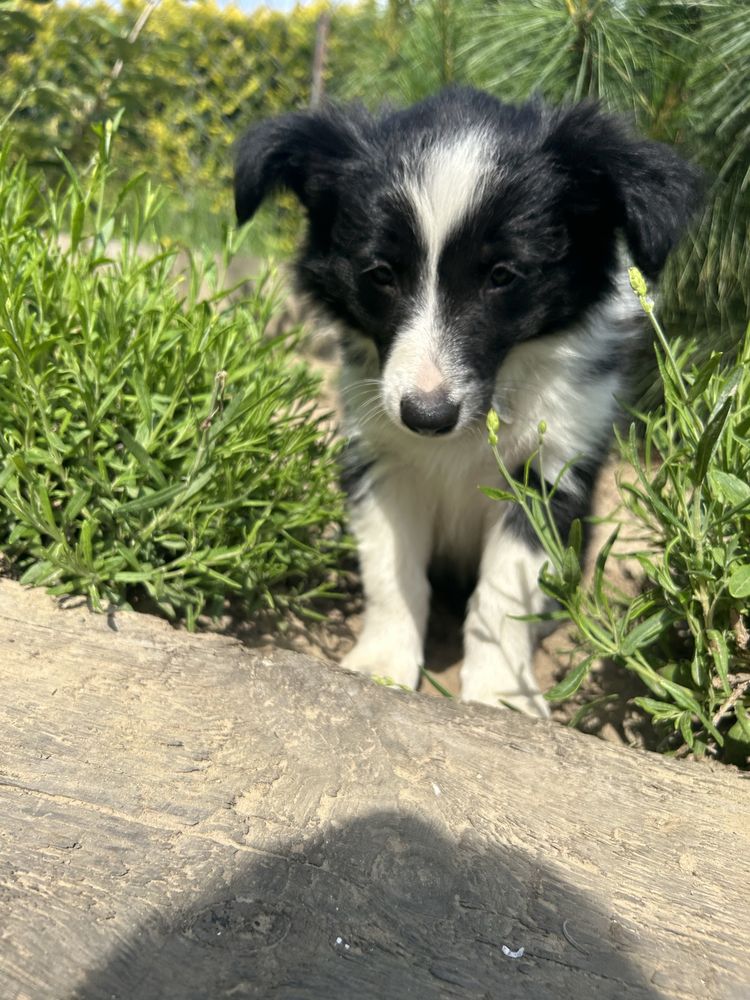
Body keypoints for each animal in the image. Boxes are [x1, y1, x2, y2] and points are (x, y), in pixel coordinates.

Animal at [234, 84, 700, 712]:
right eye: (380, 273)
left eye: (502, 275)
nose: (426, 417)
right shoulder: (381, 457)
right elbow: (392, 571)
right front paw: (381, 665)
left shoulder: (549, 470)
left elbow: (505, 592)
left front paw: (502, 694)